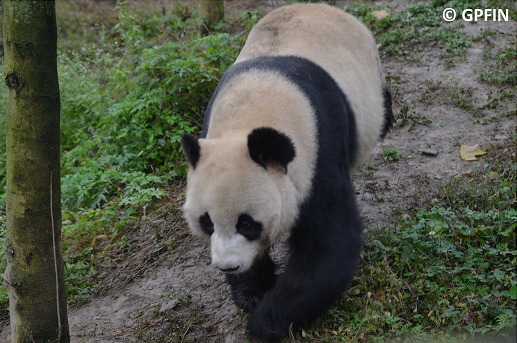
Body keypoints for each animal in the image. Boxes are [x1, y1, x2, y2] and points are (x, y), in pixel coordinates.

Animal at [179, 2, 394, 342]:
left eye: (246, 223)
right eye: (207, 223)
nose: (228, 267)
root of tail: (318, 7)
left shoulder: (318, 150)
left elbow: (329, 245)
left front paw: (264, 323)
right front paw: (252, 291)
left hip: (369, 76)